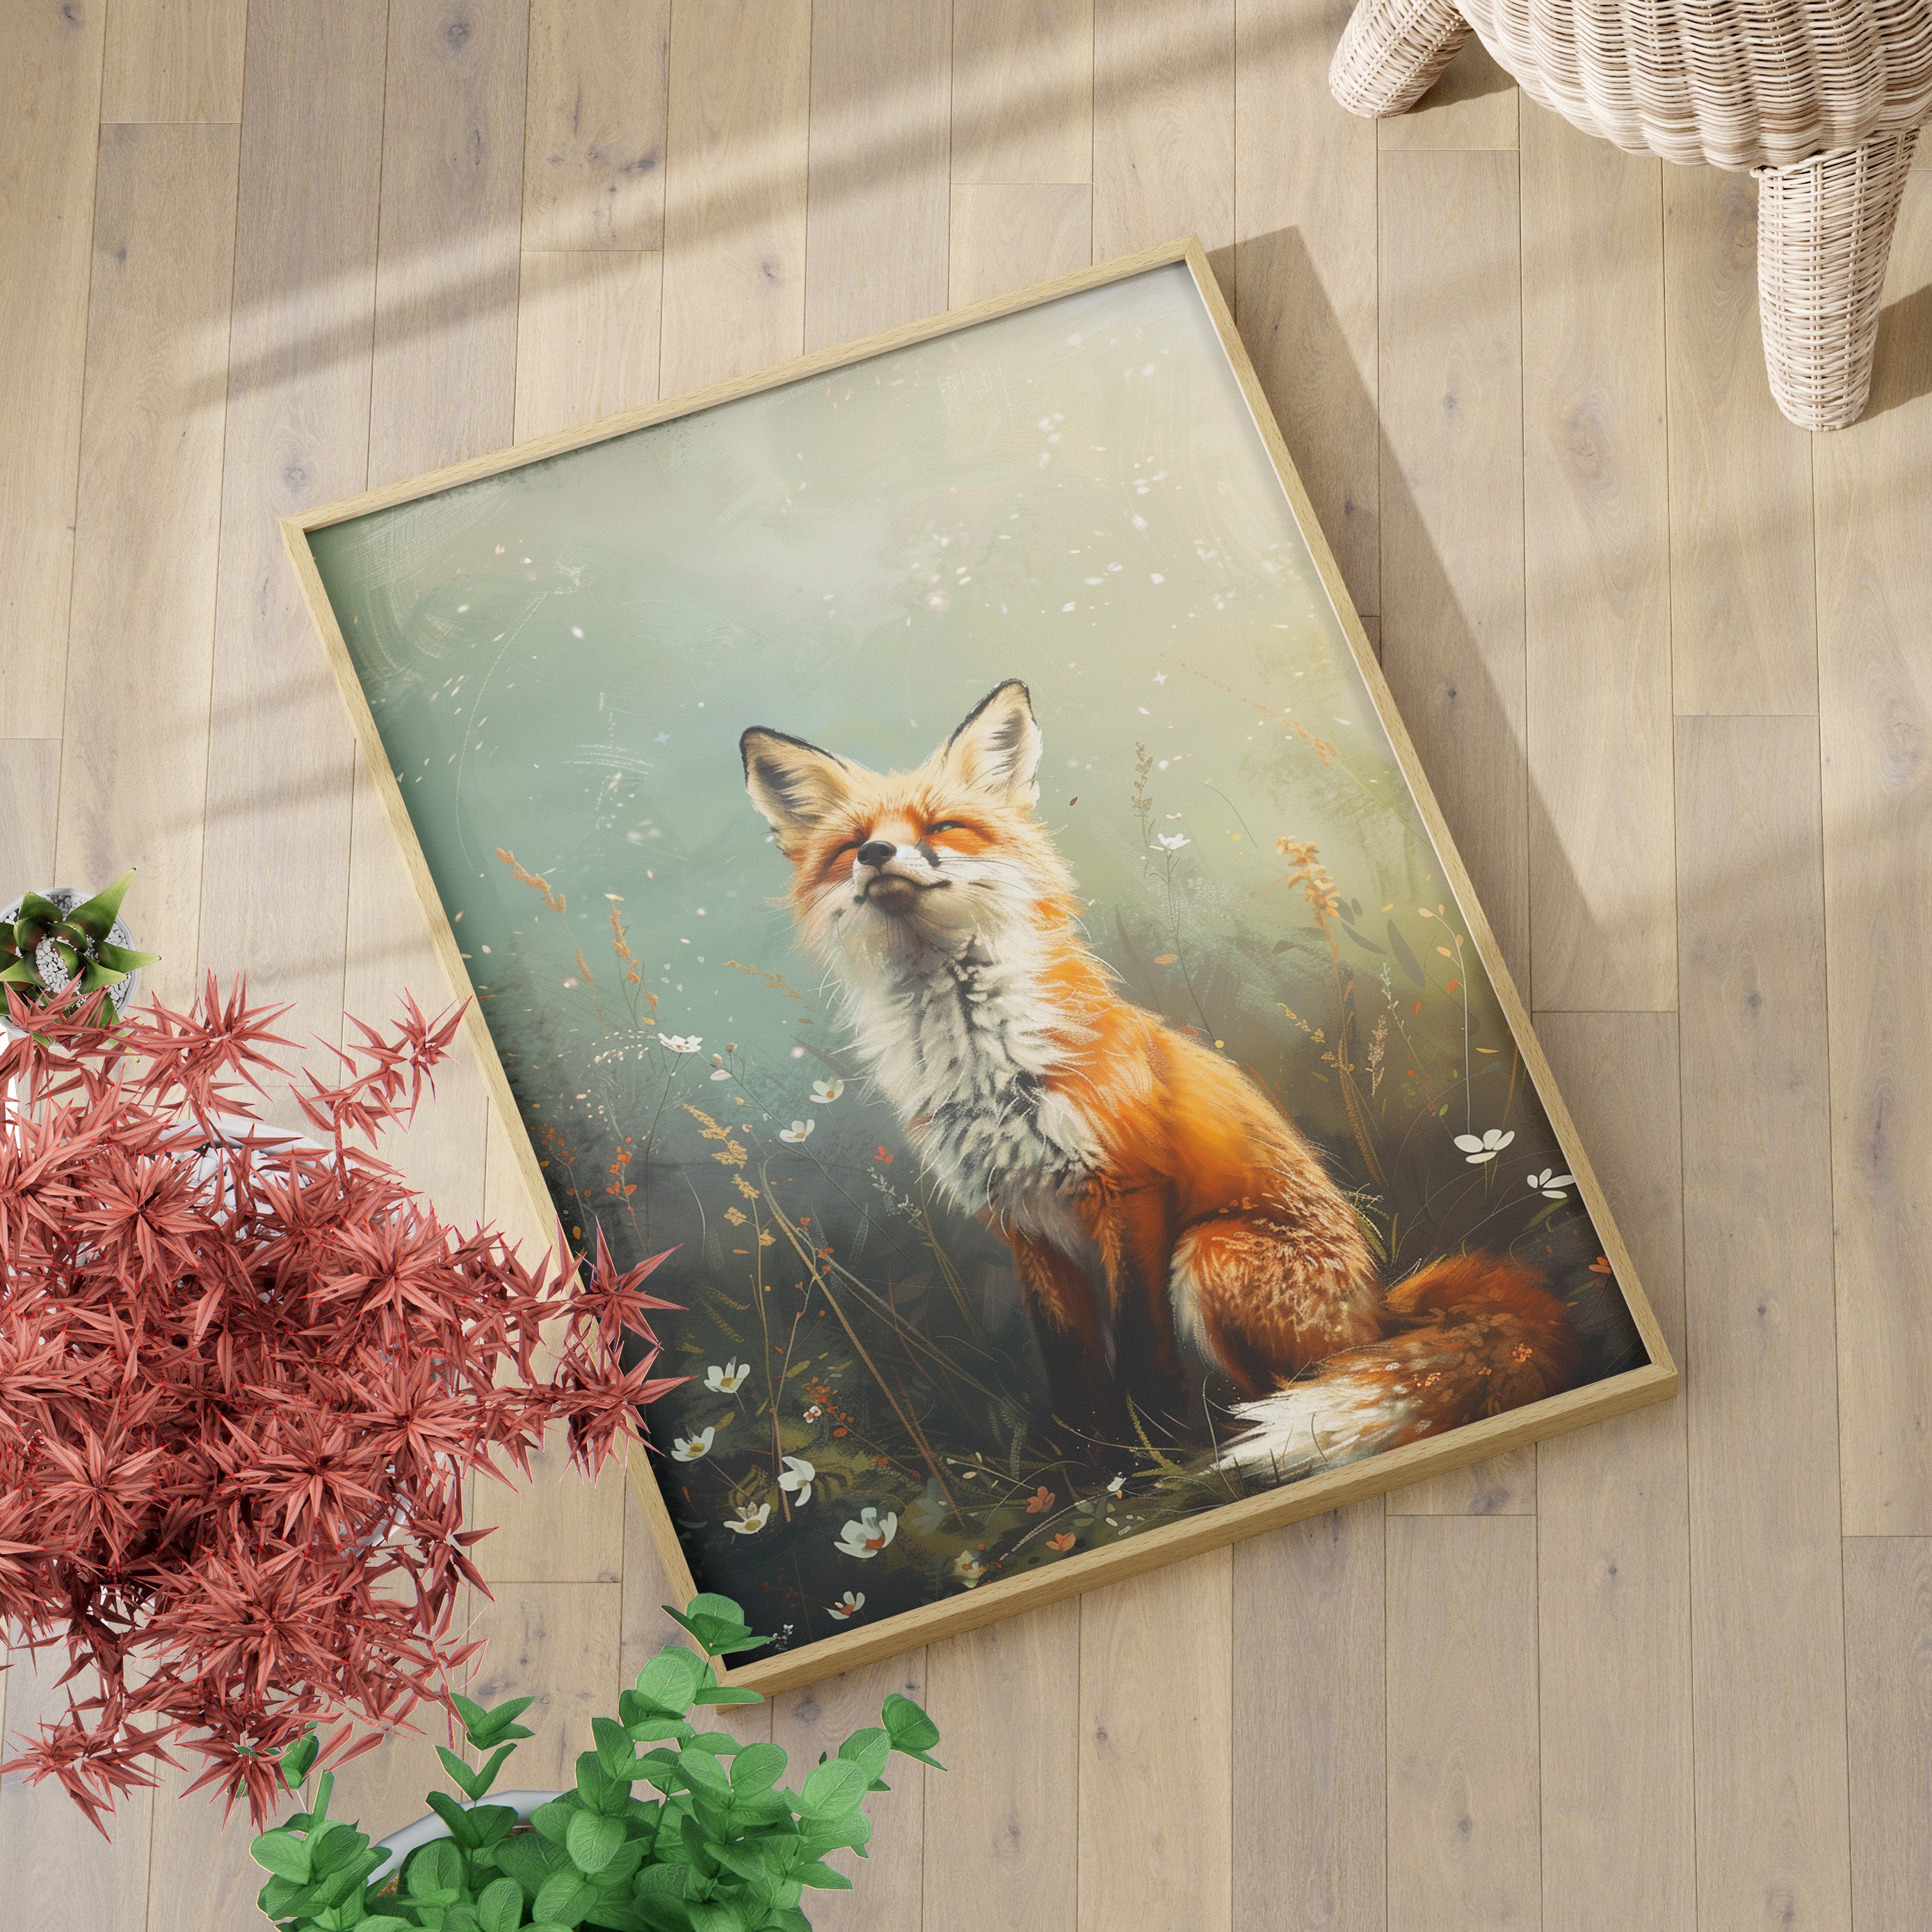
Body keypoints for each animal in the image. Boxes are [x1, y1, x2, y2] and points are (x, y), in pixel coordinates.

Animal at [739, 679, 1583, 1476]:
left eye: (942, 827)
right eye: (852, 845)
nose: (879, 859)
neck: (986, 1058)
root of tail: (1383, 1307)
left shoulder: (1130, 1190)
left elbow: (1143, 1352)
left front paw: (1154, 1463)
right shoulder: (1023, 1223)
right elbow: (1073, 1369)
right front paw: (1090, 1475)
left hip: (1211, 1252)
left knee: (1302, 1383)